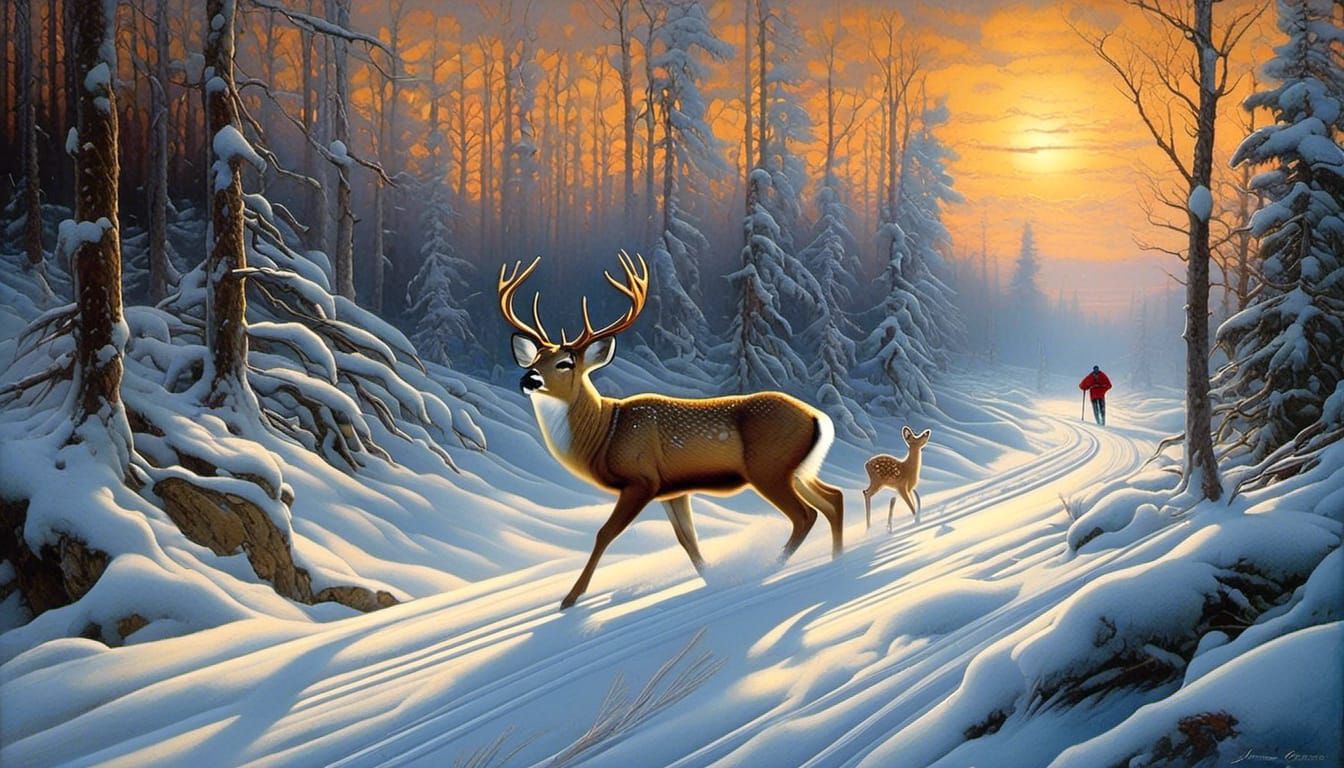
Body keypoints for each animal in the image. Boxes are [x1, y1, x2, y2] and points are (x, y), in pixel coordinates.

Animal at [500, 253, 845, 609]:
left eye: (565, 363)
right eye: (535, 360)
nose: (528, 379)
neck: (605, 435)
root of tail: (817, 417)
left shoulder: (641, 480)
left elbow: (604, 533)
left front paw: (570, 598)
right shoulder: (673, 490)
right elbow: (687, 540)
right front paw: (712, 578)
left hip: (768, 469)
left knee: (805, 515)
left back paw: (769, 567)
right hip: (796, 470)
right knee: (834, 498)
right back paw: (835, 560)